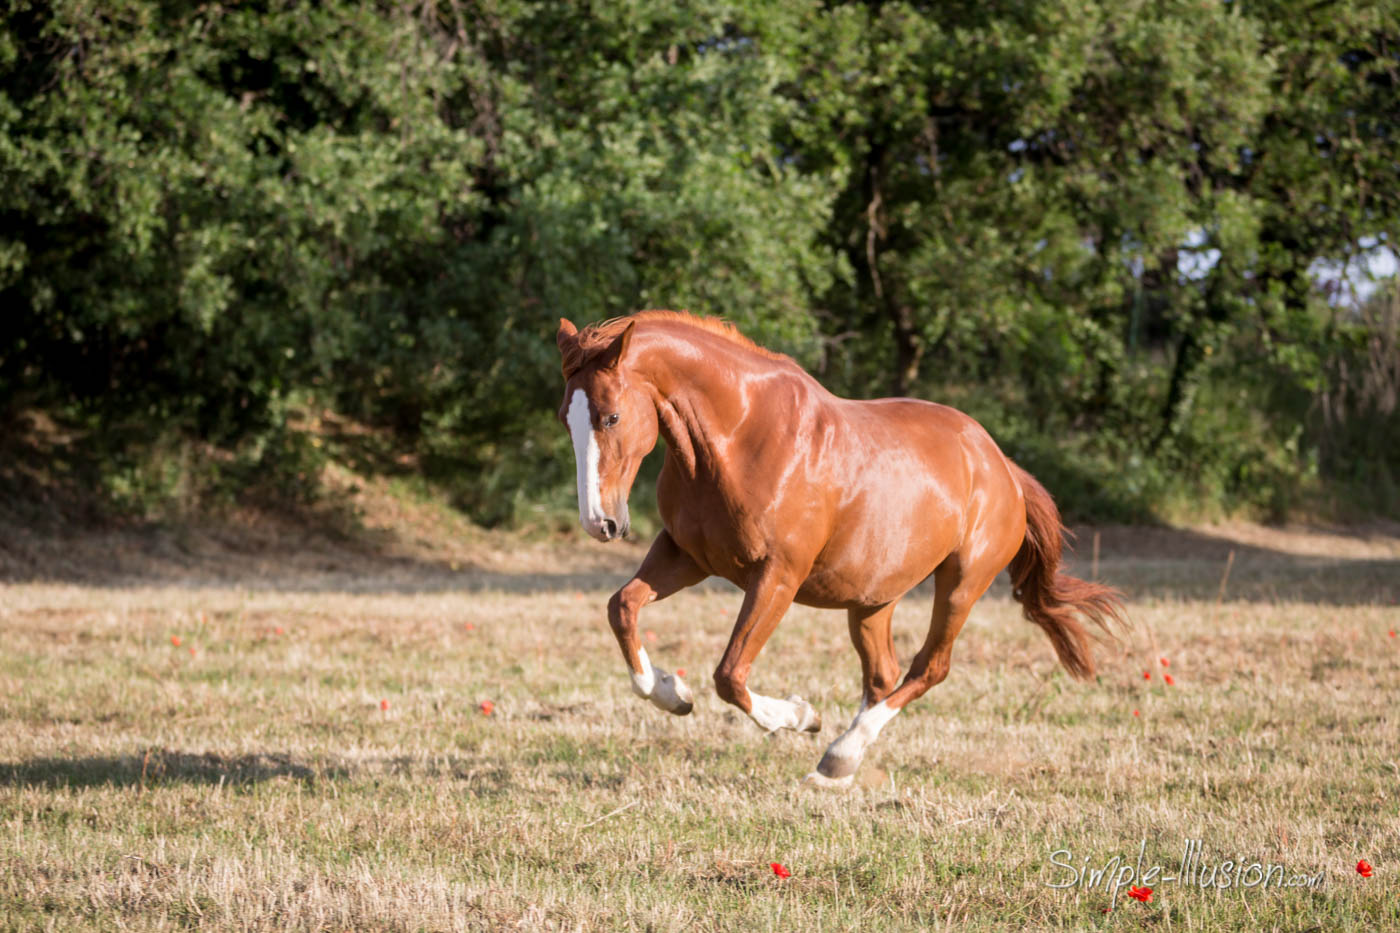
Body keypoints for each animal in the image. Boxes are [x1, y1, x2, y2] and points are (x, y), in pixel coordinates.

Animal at [551, 312, 1120, 784]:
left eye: (611, 417)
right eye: (566, 419)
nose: (601, 523)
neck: (740, 438)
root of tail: (1002, 466)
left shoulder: (776, 576)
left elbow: (730, 675)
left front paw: (801, 716)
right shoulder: (686, 556)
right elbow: (622, 608)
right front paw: (672, 694)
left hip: (962, 584)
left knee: (928, 669)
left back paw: (837, 757)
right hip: (872, 601)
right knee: (883, 675)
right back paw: (843, 765)